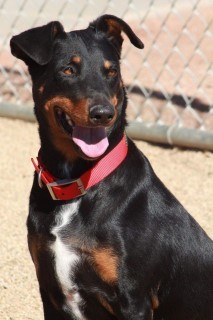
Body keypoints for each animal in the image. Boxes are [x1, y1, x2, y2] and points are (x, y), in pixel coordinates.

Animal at [10, 13, 213, 318]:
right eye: (68, 70)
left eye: (111, 72)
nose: (103, 113)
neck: (78, 182)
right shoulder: (49, 291)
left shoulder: (133, 300)